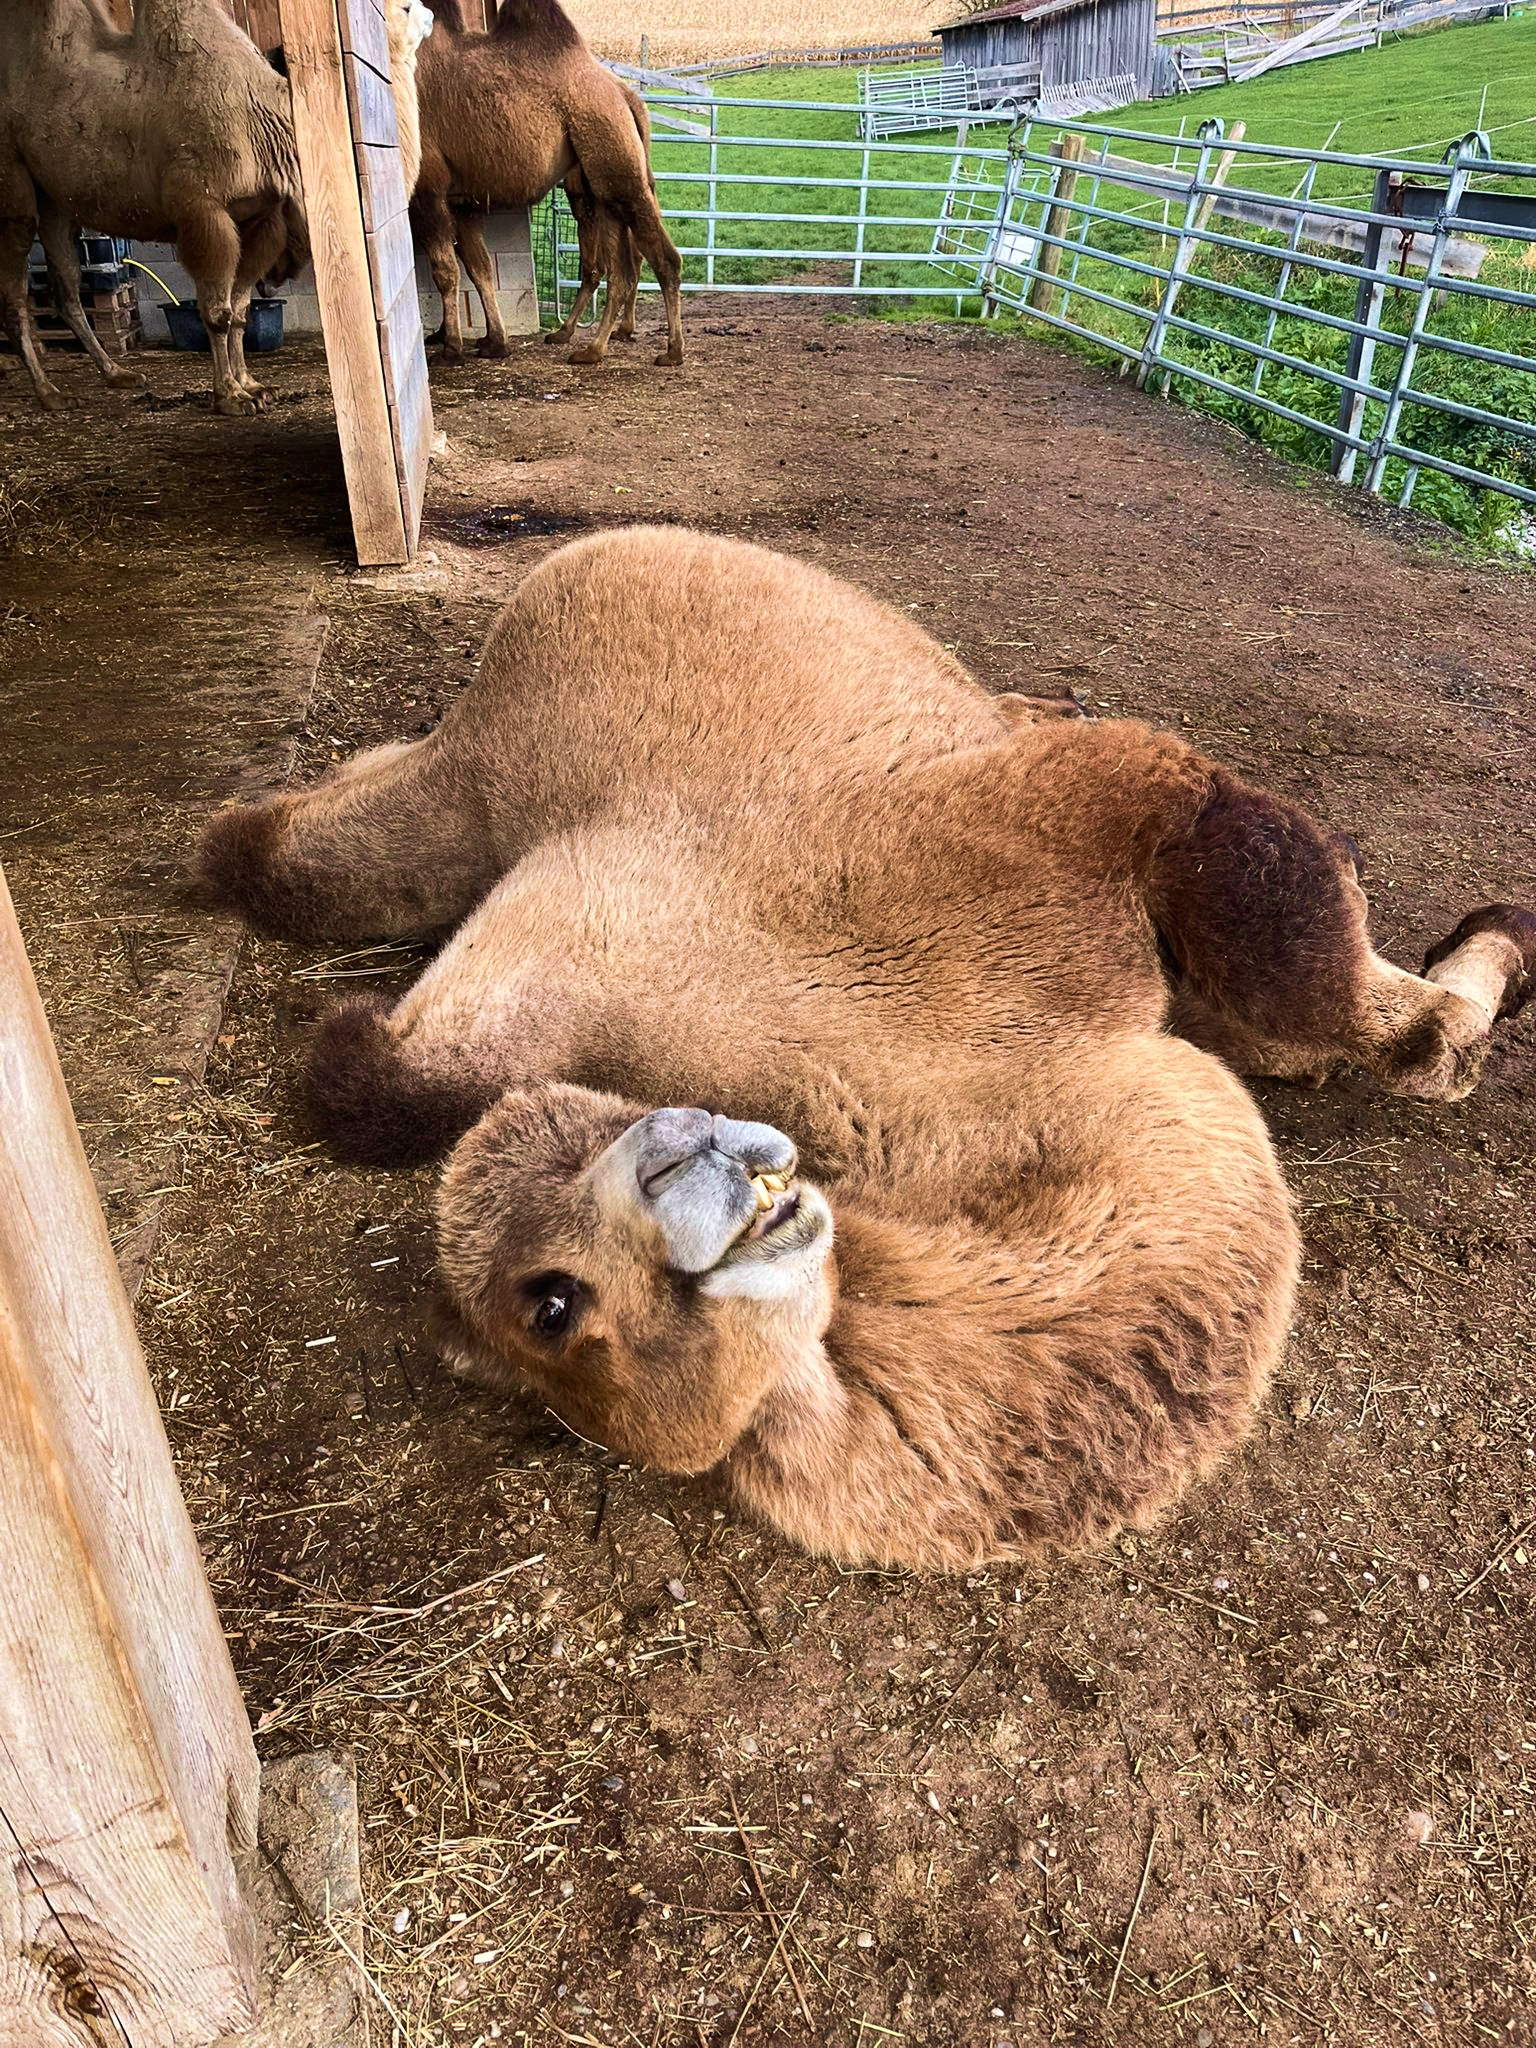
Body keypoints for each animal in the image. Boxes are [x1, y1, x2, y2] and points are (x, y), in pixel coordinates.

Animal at [0, 0, 310, 415]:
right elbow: (219, 313)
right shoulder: (202, 209)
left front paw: (253, 385)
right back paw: (50, 392)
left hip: (56, 203)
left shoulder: (260, 217)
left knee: (64, 289)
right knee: (16, 289)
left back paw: (117, 373)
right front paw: (230, 395)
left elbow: (241, 312)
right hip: (12, 182)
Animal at [195, 528, 1535, 1572]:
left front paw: (1494, 940)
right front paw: (1493, 957)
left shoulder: (1108, 810)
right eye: (554, 1304)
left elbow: (1352, 993)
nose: (688, 1158)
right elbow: (1397, 1028)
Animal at [414, 0, 684, 368]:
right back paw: (592, 347)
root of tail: (625, 94)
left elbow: (445, 269)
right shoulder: (462, 199)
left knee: (659, 258)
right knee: (620, 270)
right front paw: (493, 342)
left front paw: (451, 348)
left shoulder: (427, 186)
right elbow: (479, 267)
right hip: (601, 184)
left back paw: (671, 351)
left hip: (613, 159)